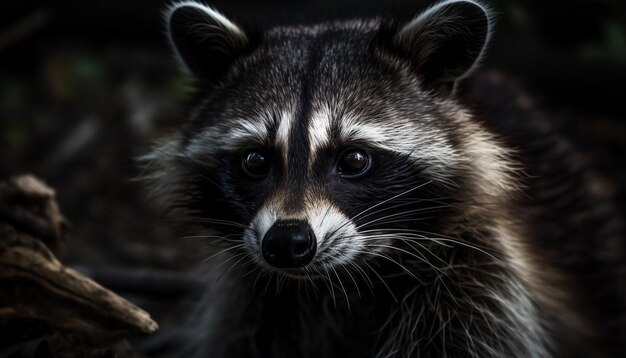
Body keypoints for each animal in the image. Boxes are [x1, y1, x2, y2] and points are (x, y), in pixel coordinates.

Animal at [141, 1, 624, 356]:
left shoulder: (479, 280)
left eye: (354, 159)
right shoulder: (253, 300)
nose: (287, 243)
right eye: (255, 160)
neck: (338, 283)